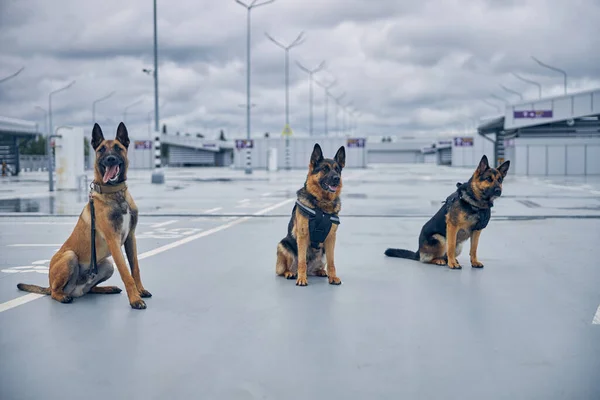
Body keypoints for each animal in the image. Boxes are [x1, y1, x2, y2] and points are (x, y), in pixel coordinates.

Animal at [18, 122, 152, 310]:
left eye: (118, 148)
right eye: (101, 150)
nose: (110, 159)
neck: (115, 193)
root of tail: (74, 289)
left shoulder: (130, 238)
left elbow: (135, 268)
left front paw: (141, 290)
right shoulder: (113, 240)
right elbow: (126, 272)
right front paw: (135, 299)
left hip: (107, 264)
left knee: (89, 289)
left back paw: (106, 288)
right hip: (70, 257)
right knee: (54, 292)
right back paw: (63, 297)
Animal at [278, 142, 346, 286]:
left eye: (337, 169)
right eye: (325, 169)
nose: (337, 178)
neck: (322, 205)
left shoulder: (331, 238)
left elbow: (332, 262)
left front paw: (333, 277)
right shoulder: (303, 235)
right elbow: (302, 261)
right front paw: (301, 279)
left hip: (323, 254)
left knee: (319, 266)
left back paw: (320, 271)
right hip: (283, 246)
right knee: (286, 268)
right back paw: (291, 273)